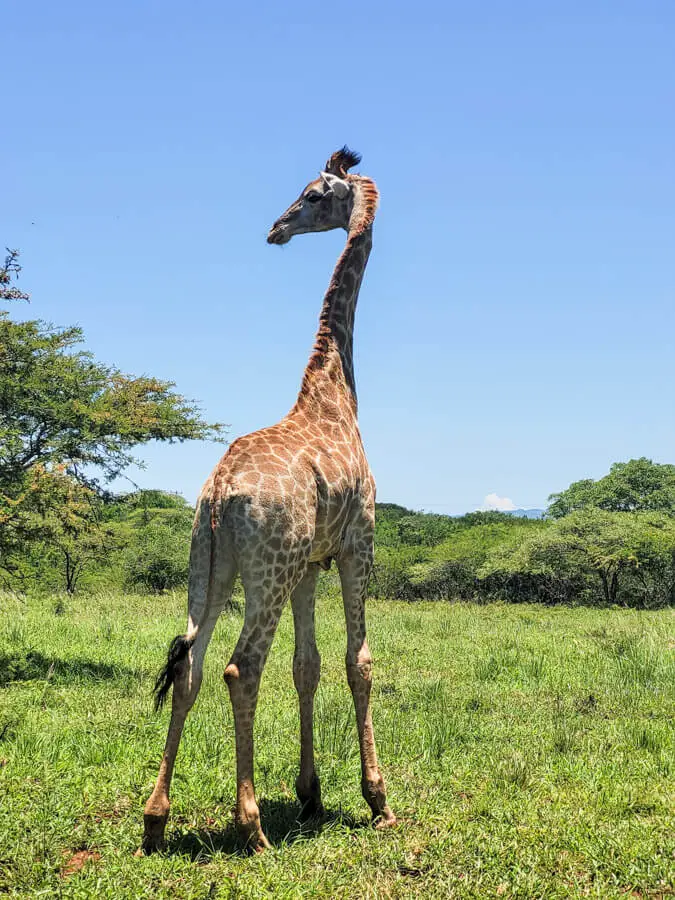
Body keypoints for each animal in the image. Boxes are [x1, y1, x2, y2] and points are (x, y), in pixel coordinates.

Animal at [143, 146, 396, 852]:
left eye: (311, 196)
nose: (276, 229)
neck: (335, 389)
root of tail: (220, 493)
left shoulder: (311, 564)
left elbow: (307, 666)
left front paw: (311, 795)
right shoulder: (356, 546)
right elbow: (358, 662)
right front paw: (377, 798)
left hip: (209, 565)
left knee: (189, 664)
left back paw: (155, 818)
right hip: (268, 569)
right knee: (240, 667)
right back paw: (250, 823)